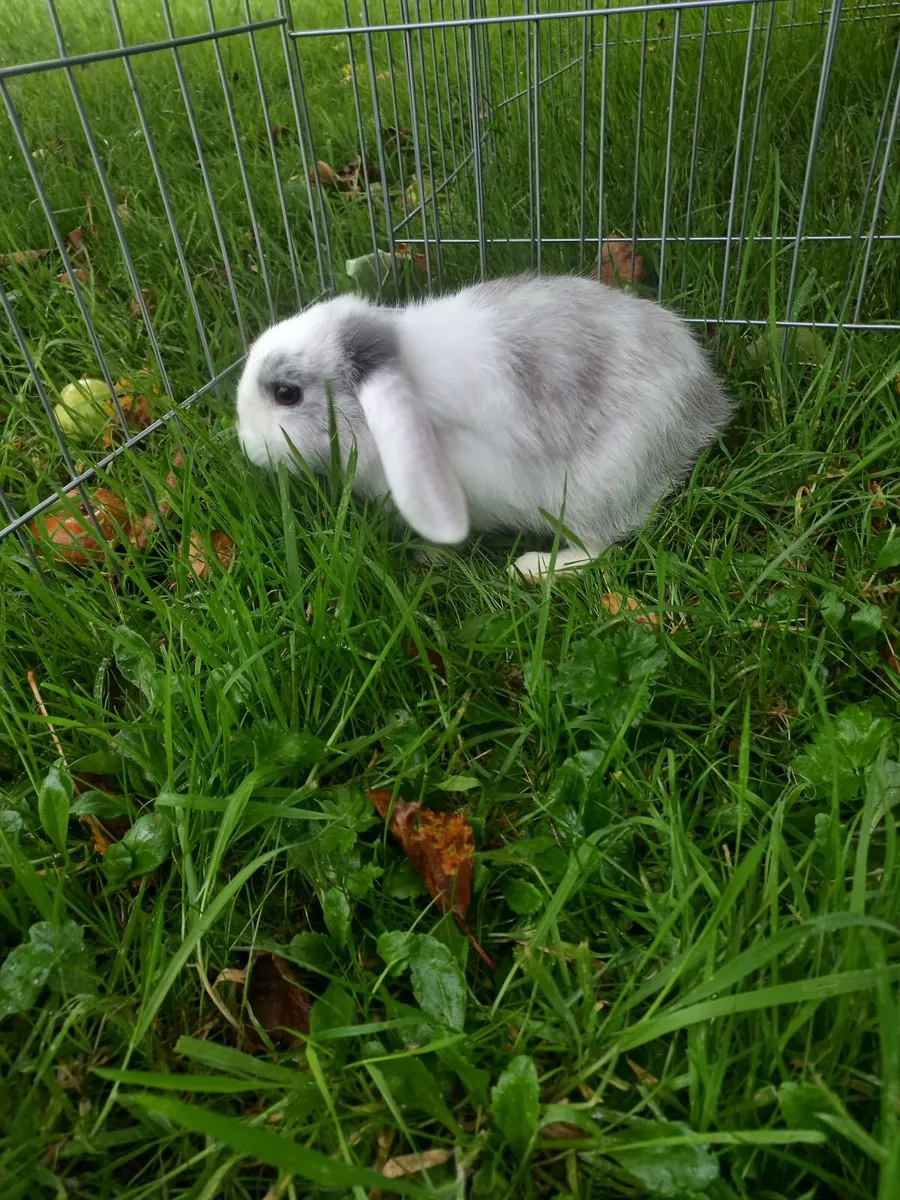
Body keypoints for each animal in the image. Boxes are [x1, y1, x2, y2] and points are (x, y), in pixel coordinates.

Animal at [235, 272, 734, 581]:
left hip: (595, 490)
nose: (247, 448)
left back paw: (529, 569)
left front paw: (427, 554)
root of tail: (705, 409)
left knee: (599, 547)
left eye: (286, 393)